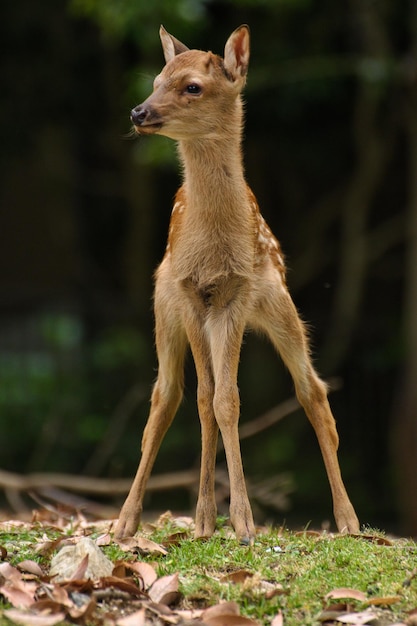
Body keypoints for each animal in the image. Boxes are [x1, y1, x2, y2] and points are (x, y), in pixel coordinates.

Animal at [114, 23, 358, 540]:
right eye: (156, 80)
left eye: (192, 87)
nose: (139, 111)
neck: (211, 245)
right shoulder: (189, 294)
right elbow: (205, 400)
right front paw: (206, 520)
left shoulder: (236, 294)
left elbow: (227, 401)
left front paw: (243, 522)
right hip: (164, 310)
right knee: (166, 395)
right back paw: (130, 521)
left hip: (280, 304)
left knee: (313, 391)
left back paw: (348, 520)